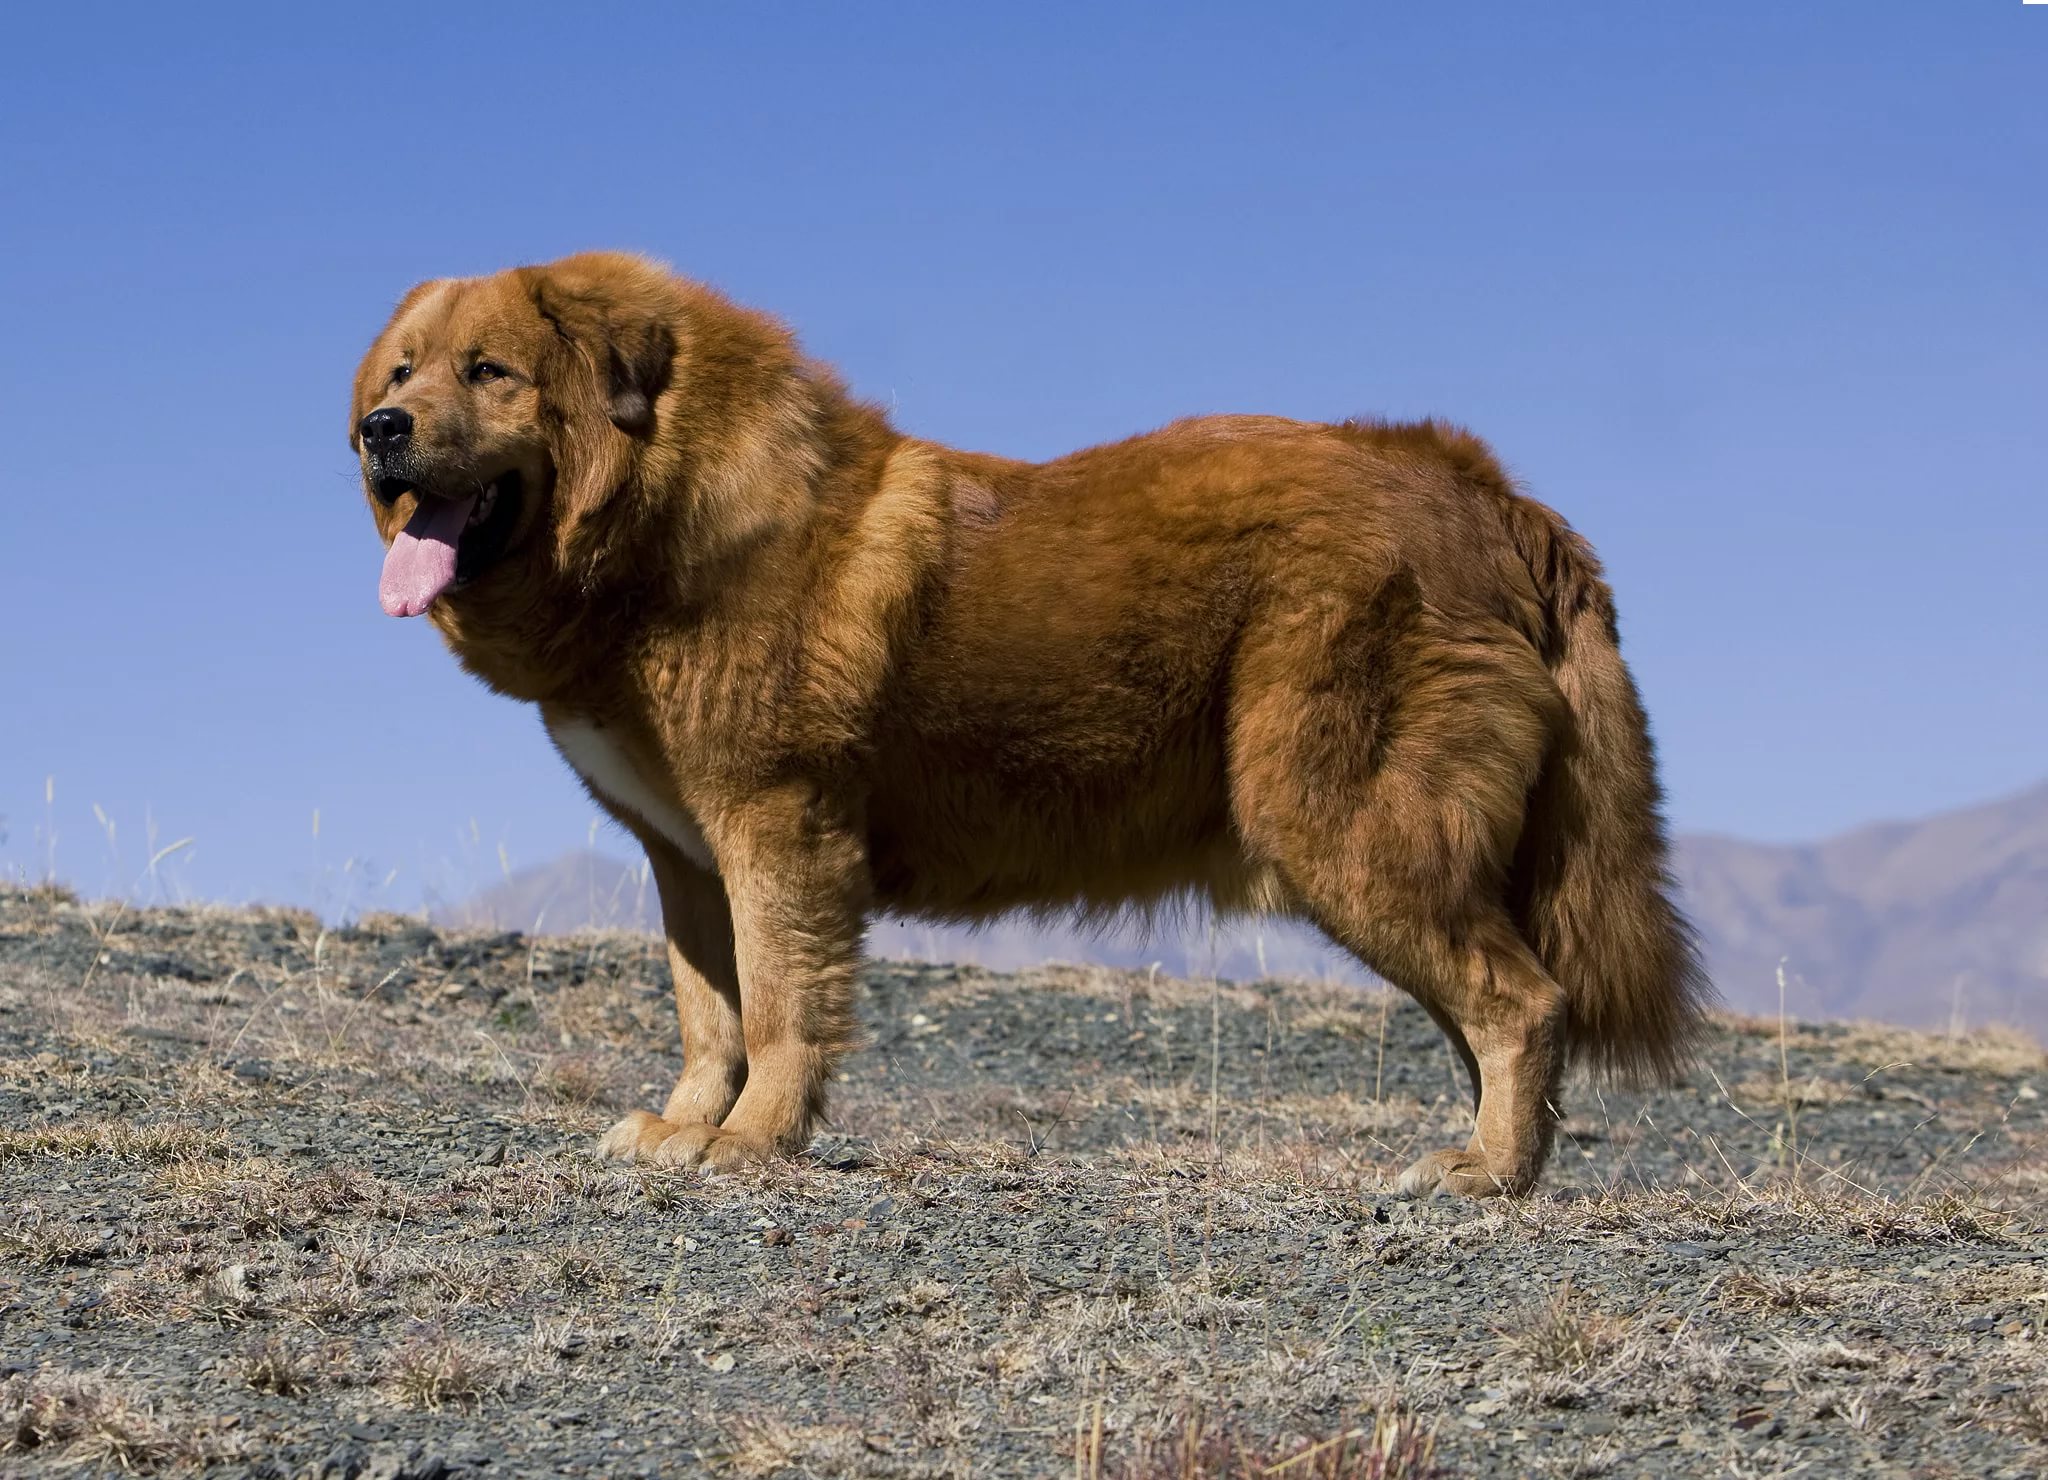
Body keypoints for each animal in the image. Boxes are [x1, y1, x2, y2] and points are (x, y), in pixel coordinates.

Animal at [352, 254, 1712, 1195]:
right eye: (402, 372)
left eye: (490, 371)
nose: (378, 430)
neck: (665, 512)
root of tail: (1475, 486)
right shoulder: (685, 853)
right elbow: (709, 1008)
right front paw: (688, 1124)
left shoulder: (778, 828)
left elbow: (782, 1004)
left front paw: (750, 1143)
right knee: (1495, 1010)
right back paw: (1493, 1154)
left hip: (1346, 821)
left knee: (1522, 1002)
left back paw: (1487, 1174)